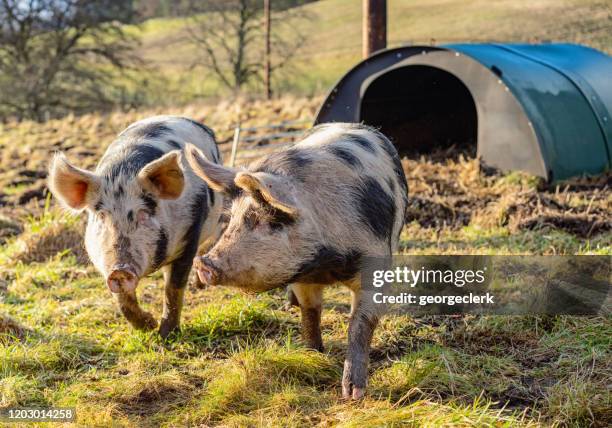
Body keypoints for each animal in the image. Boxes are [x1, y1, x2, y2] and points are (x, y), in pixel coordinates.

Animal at [47, 117, 224, 338]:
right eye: (102, 215)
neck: (122, 174)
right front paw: (148, 325)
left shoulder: (189, 234)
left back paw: (199, 284)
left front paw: (166, 335)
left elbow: (173, 289)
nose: (119, 270)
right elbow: (123, 300)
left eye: (143, 213)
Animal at [184, 123, 408, 398]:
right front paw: (311, 355)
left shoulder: (375, 263)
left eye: (267, 219)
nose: (203, 264)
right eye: (231, 218)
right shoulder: (302, 274)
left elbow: (360, 323)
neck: (327, 261)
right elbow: (310, 311)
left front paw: (352, 394)